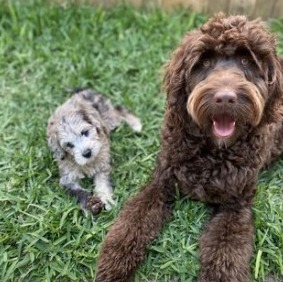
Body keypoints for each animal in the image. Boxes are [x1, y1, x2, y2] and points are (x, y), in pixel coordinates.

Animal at [95, 13, 283, 282]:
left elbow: (225, 253)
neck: (212, 152)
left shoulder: (236, 206)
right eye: (204, 62)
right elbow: (132, 223)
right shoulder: (160, 184)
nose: (225, 98)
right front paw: (115, 264)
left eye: (247, 60)